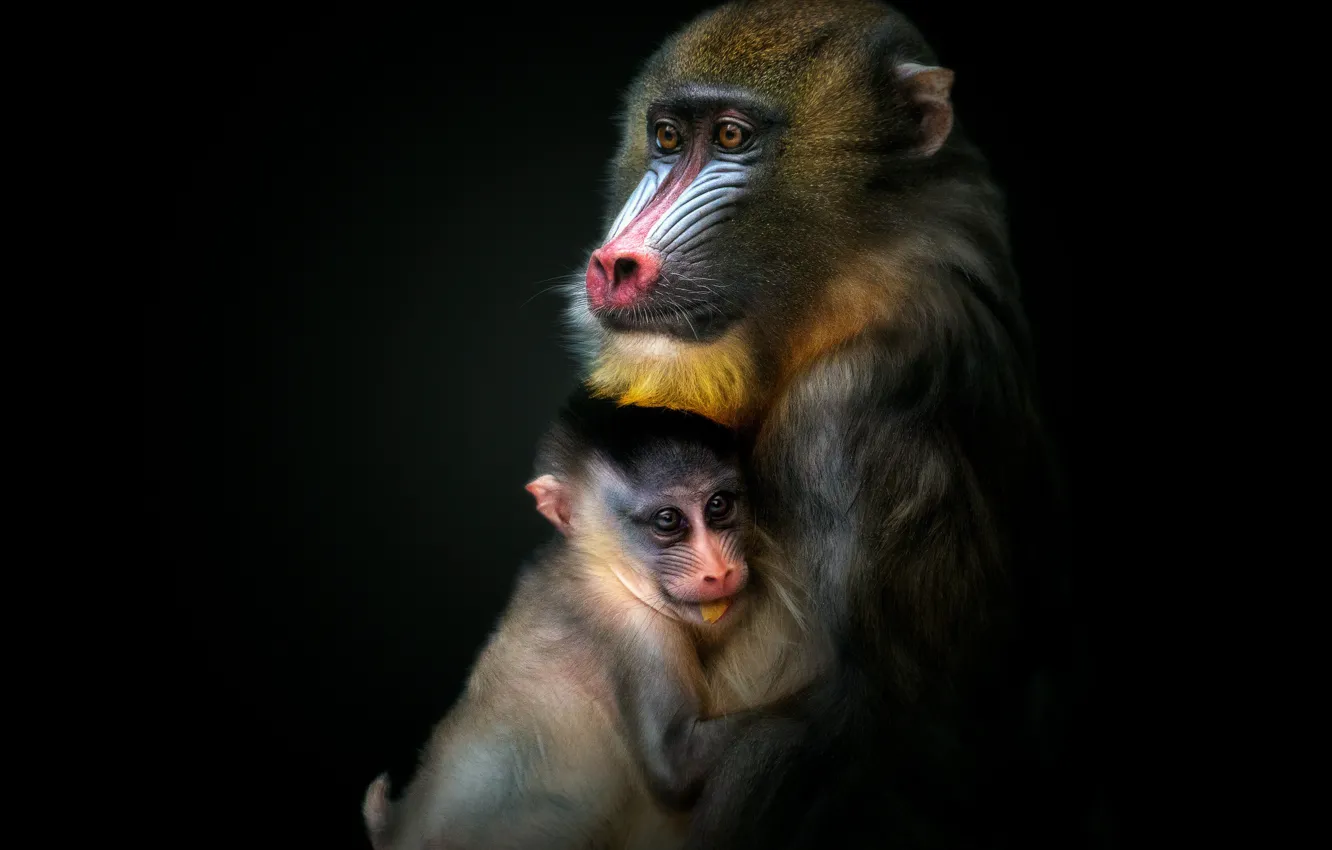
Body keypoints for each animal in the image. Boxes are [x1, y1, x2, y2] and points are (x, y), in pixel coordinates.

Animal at [362, 391, 809, 850]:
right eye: (668, 520)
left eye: (718, 505)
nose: (720, 571)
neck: (602, 567)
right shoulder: (634, 628)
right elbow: (676, 766)